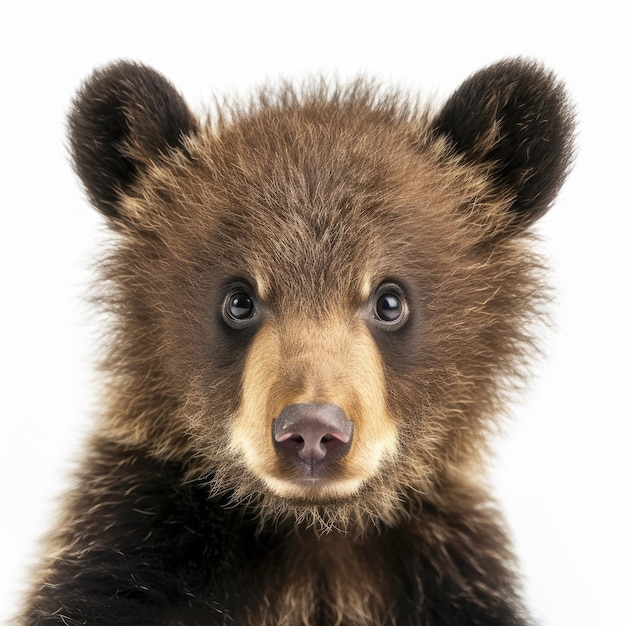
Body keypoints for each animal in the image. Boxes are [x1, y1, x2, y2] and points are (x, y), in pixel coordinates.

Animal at [19, 59, 572, 624]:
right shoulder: (132, 545)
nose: (311, 430)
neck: (315, 530)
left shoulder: (445, 575)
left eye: (389, 300)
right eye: (239, 300)